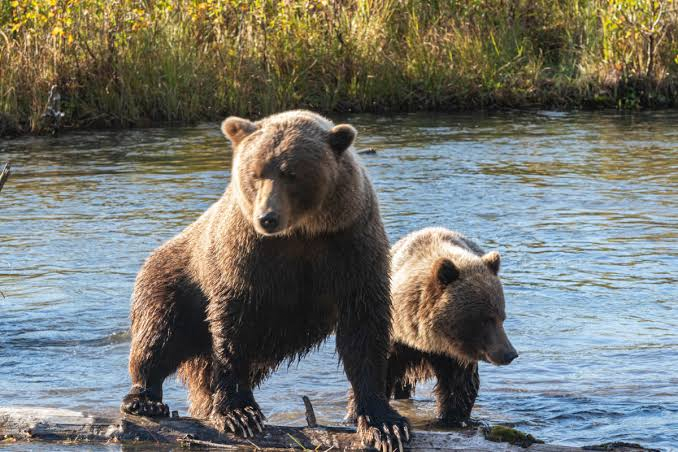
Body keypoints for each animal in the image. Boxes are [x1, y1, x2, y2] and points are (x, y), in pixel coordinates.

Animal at [120, 110, 409, 451]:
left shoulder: (349, 246)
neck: (302, 232)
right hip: (175, 279)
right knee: (159, 334)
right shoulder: (246, 258)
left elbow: (364, 331)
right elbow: (233, 332)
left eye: (291, 173)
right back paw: (145, 398)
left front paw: (384, 424)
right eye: (255, 173)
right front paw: (240, 414)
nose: (267, 218)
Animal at [385, 227, 518, 426]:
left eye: (501, 317)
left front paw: (452, 417)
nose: (510, 354)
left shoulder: (456, 355)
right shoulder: (396, 340)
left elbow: (459, 386)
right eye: (485, 319)